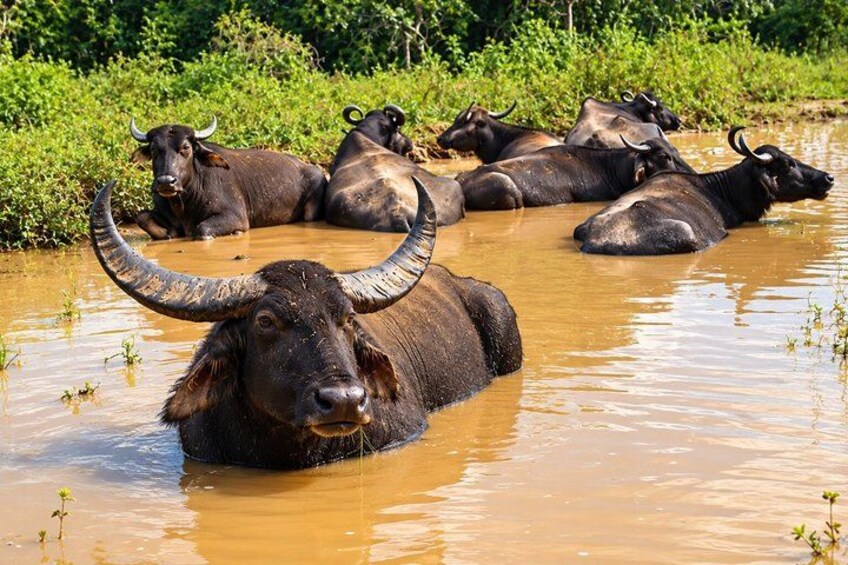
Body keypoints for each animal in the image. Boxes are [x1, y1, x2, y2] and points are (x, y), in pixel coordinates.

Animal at [131, 117, 327, 240]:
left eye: (185, 147)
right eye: (154, 149)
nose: (166, 182)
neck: (183, 204)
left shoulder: (236, 217)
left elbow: (201, 229)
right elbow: (141, 217)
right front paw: (168, 232)